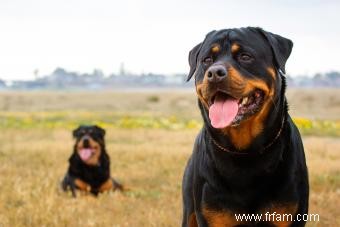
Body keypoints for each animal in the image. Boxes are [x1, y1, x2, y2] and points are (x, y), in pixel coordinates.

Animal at [182, 27, 310, 226]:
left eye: (245, 56)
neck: (245, 152)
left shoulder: (290, 215)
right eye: (207, 60)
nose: (214, 73)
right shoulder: (211, 216)